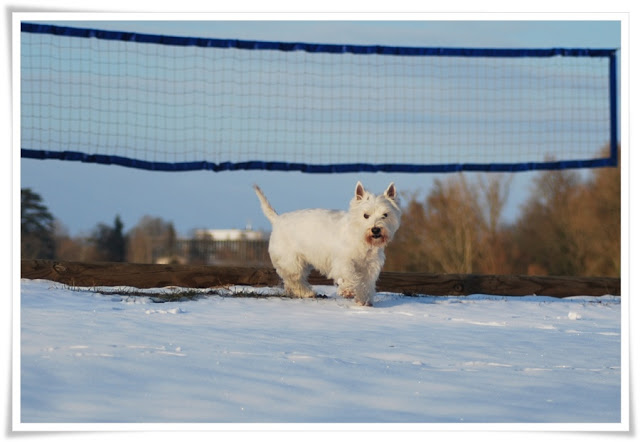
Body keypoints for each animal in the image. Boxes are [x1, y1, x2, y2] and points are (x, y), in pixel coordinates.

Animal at [254, 181, 400, 306]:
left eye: (385, 215)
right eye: (365, 215)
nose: (375, 230)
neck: (362, 240)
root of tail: (277, 219)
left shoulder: (370, 265)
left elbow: (366, 283)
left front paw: (363, 300)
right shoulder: (343, 261)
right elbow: (349, 274)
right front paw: (348, 291)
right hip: (291, 260)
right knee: (293, 278)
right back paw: (307, 293)